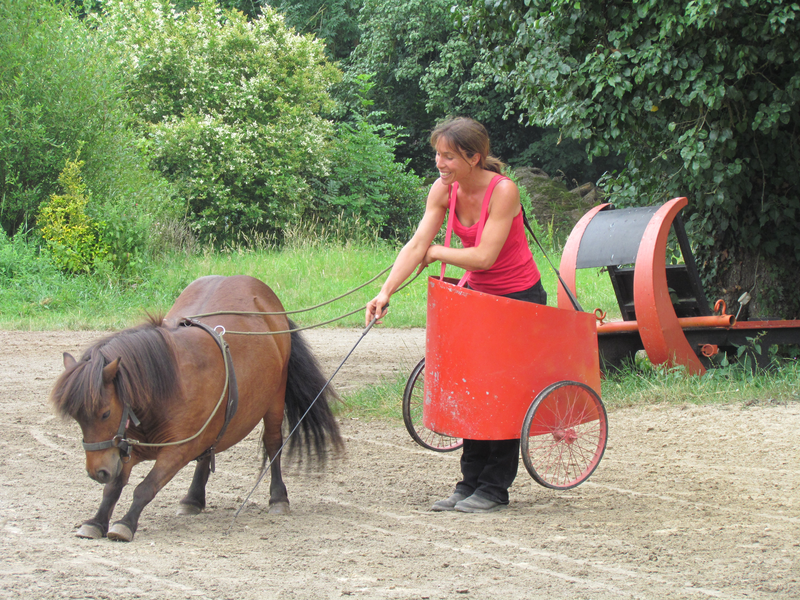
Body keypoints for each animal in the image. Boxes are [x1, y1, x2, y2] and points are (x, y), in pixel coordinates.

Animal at [49, 276, 344, 544]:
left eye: (105, 413)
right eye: (78, 418)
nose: (97, 472)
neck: (167, 387)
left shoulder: (177, 450)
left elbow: (145, 487)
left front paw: (125, 524)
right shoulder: (127, 447)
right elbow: (113, 488)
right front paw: (96, 521)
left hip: (274, 401)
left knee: (273, 445)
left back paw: (278, 497)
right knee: (207, 452)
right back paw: (193, 498)